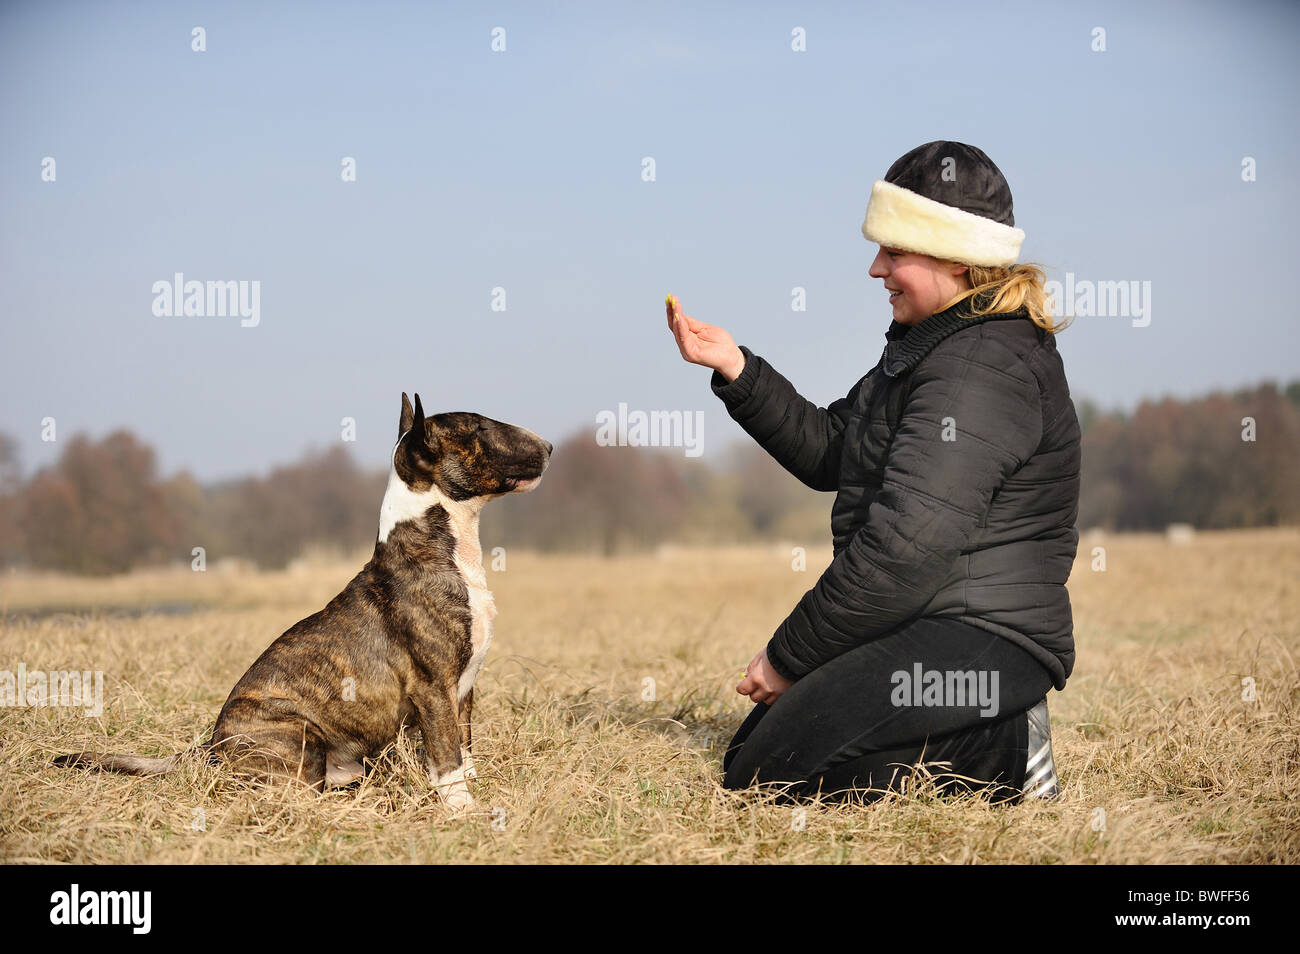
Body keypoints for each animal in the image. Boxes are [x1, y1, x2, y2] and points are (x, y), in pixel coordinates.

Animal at [53, 392, 551, 811]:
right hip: (300, 738)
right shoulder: (433, 688)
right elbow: (447, 759)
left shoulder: (464, 689)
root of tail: (210, 748)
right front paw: (464, 811)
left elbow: (464, 750)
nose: (549, 446)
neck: (439, 545)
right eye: (479, 428)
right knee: (294, 790)